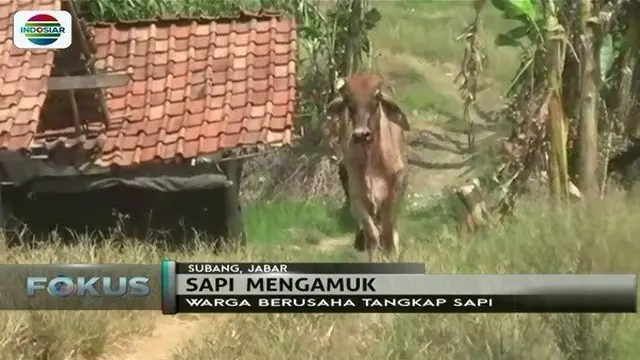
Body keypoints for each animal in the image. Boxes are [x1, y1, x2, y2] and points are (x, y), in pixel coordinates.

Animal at [324, 73, 410, 260]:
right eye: (348, 99)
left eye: (376, 97)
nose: (361, 134)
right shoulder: (357, 195)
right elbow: (372, 236)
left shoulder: (397, 187)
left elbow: (388, 233)